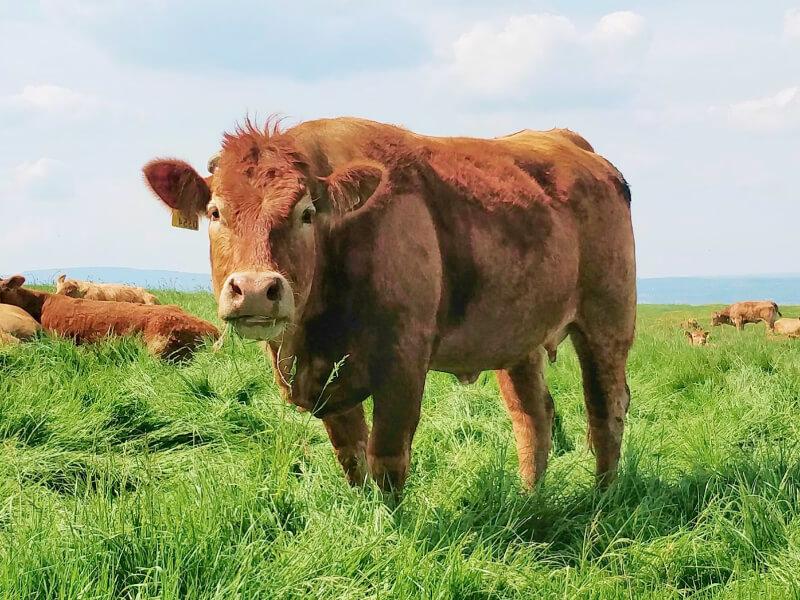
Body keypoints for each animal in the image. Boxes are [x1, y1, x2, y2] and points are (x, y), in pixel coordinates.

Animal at [143, 117, 636, 492]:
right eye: (215, 212)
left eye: (306, 213)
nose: (255, 288)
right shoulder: (330, 385)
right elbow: (352, 458)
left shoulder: (403, 363)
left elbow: (387, 460)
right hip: (518, 339)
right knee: (533, 417)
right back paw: (529, 500)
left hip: (607, 325)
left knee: (606, 413)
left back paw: (601, 501)